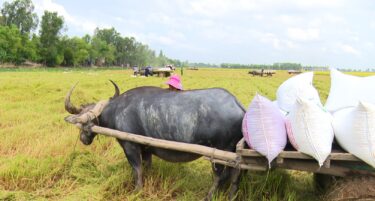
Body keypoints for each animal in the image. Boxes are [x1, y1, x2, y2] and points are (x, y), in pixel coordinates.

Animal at [64, 81, 247, 199]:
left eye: (83, 122)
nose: (83, 139)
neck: (116, 110)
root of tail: (240, 107)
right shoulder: (146, 148)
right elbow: (146, 166)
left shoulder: (130, 147)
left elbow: (137, 170)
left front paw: (136, 191)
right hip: (233, 153)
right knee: (235, 176)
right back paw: (231, 196)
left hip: (220, 153)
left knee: (220, 176)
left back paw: (209, 196)